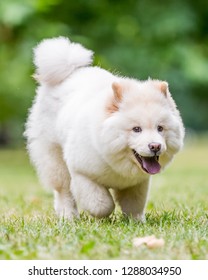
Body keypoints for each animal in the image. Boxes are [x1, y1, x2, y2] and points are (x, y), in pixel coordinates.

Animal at [25, 37, 184, 221]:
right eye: (136, 129)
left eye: (160, 128)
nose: (155, 146)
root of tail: (70, 73)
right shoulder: (82, 173)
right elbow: (101, 204)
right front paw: (103, 217)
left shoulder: (138, 183)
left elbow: (134, 205)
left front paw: (137, 221)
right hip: (54, 158)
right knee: (63, 191)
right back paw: (68, 216)